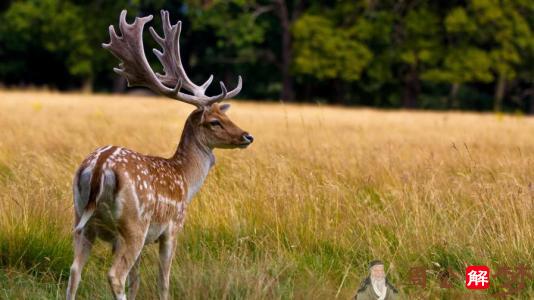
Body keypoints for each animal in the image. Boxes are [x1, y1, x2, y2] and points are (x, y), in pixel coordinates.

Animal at [66, 9, 255, 300]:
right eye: (215, 122)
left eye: (226, 115)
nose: (247, 136)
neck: (186, 180)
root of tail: (99, 166)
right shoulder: (173, 227)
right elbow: (162, 280)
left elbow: (136, 281)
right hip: (134, 223)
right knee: (115, 275)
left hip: (82, 220)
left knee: (75, 270)